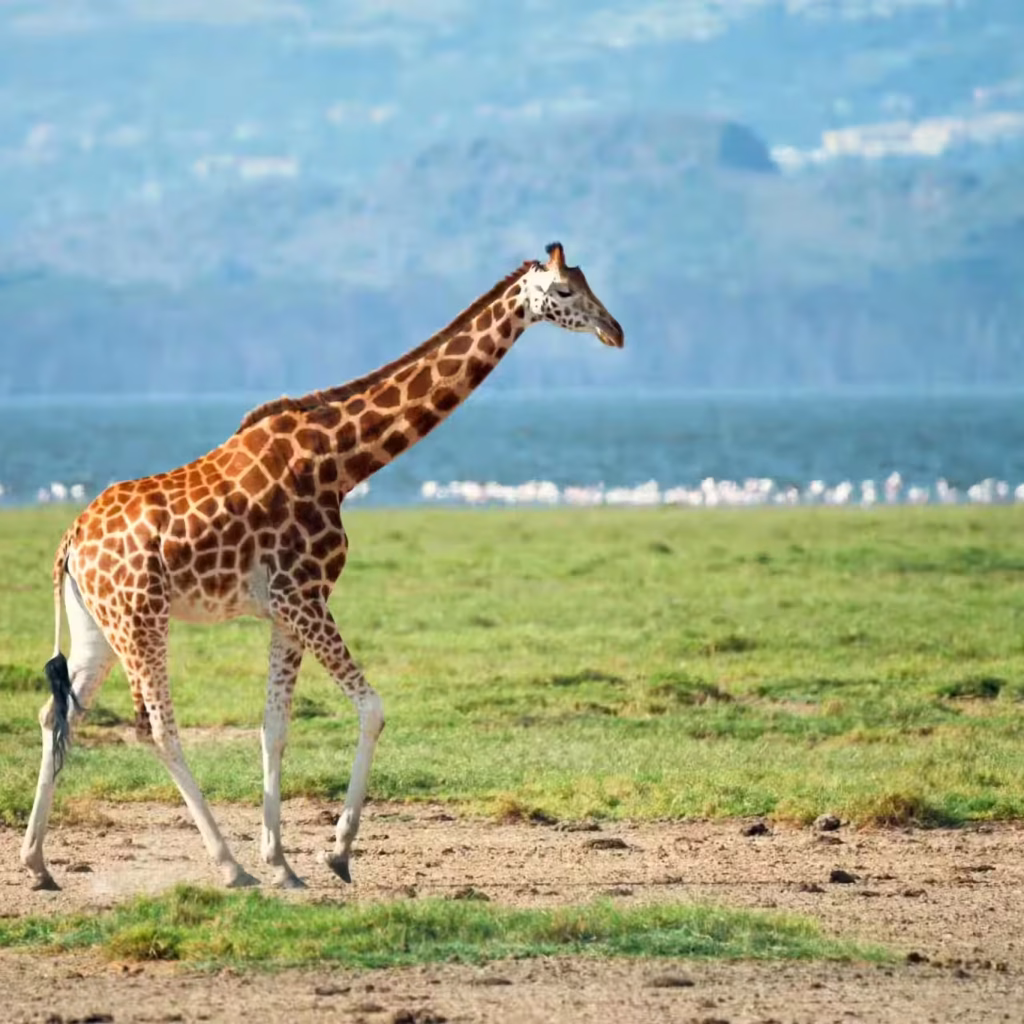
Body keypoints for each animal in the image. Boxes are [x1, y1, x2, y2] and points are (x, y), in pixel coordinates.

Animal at [21, 242, 624, 891]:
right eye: (562, 292)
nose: (614, 331)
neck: (342, 462)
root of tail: (71, 540)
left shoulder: (286, 610)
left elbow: (274, 726)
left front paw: (283, 862)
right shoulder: (303, 595)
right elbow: (373, 708)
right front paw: (335, 851)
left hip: (98, 625)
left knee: (56, 713)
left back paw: (38, 863)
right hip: (140, 616)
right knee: (153, 727)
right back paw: (229, 866)